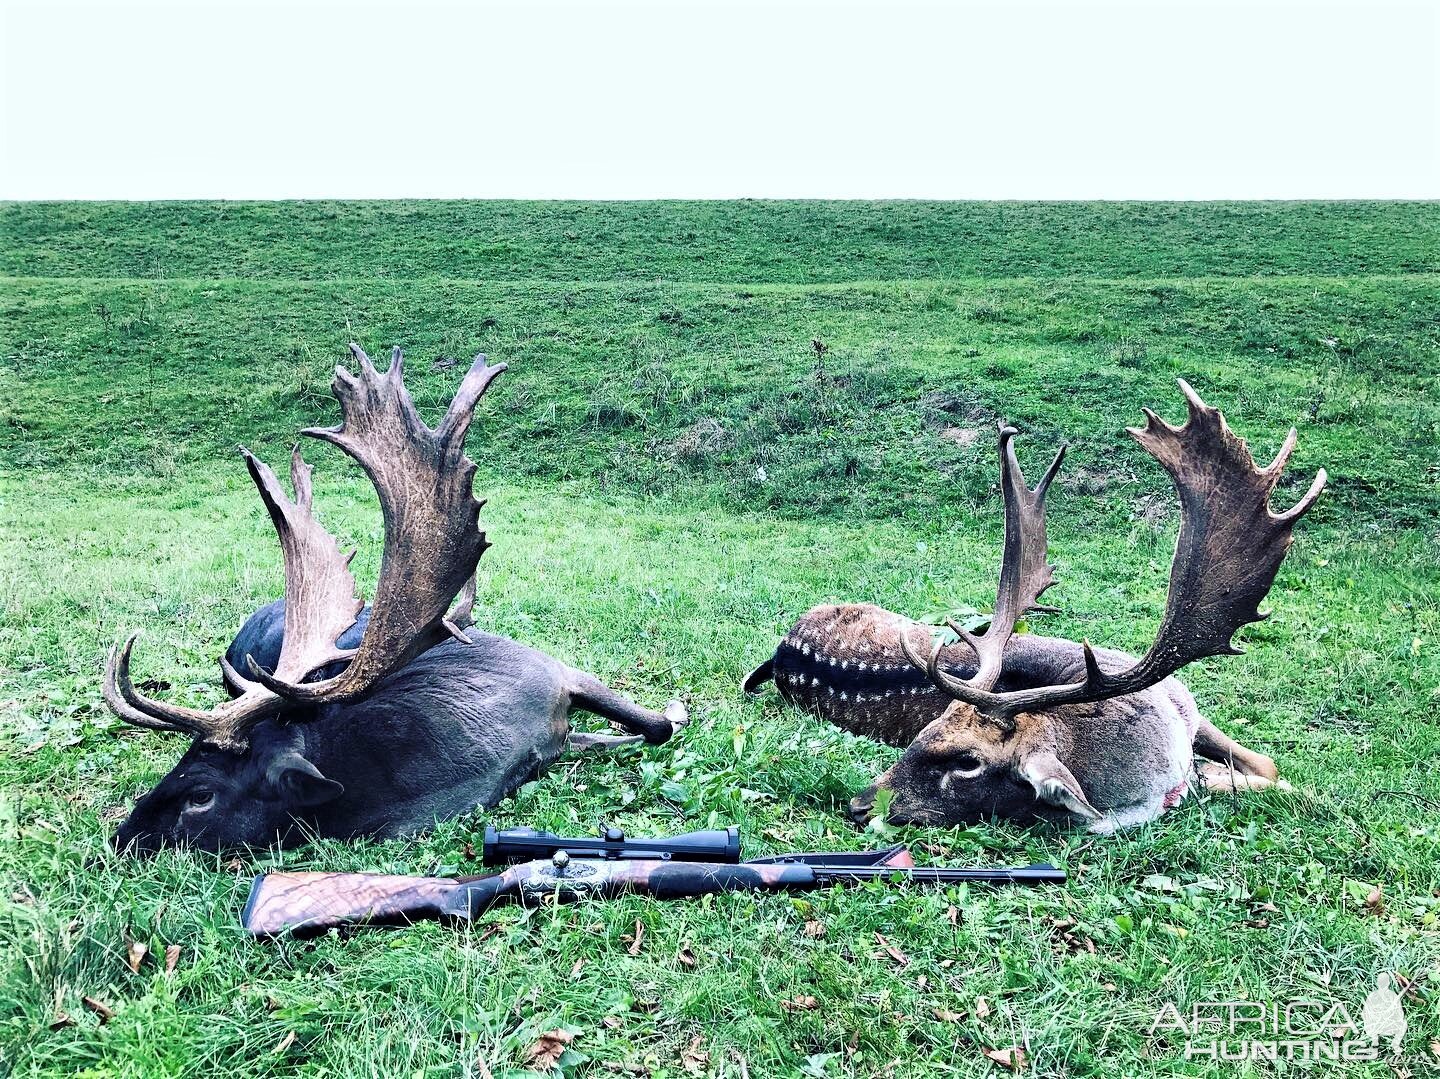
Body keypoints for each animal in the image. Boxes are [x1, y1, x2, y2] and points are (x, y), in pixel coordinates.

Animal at [748, 380, 1319, 835]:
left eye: (968, 762)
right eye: (920, 734)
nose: (860, 804)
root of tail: (779, 653)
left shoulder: (1191, 709)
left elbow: (1269, 768)